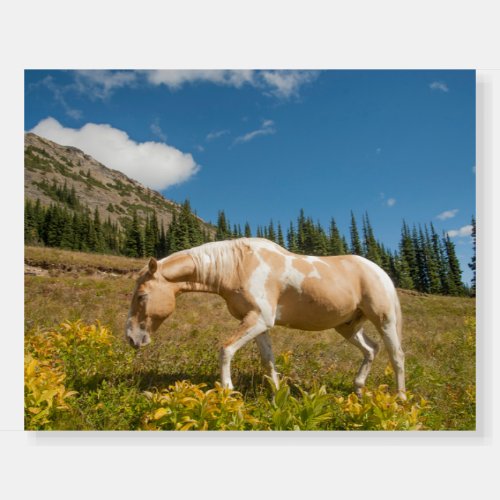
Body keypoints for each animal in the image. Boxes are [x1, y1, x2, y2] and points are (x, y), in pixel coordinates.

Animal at [126, 237, 406, 398]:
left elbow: (225, 349)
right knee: (371, 349)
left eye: (141, 296)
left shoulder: (259, 319)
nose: (131, 338)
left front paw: (227, 391)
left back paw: (400, 399)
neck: (239, 265)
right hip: (347, 326)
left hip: (385, 320)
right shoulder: (259, 324)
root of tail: (379, 270)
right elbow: (268, 361)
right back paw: (358, 390)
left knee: (397, 357)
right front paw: (277, 396)